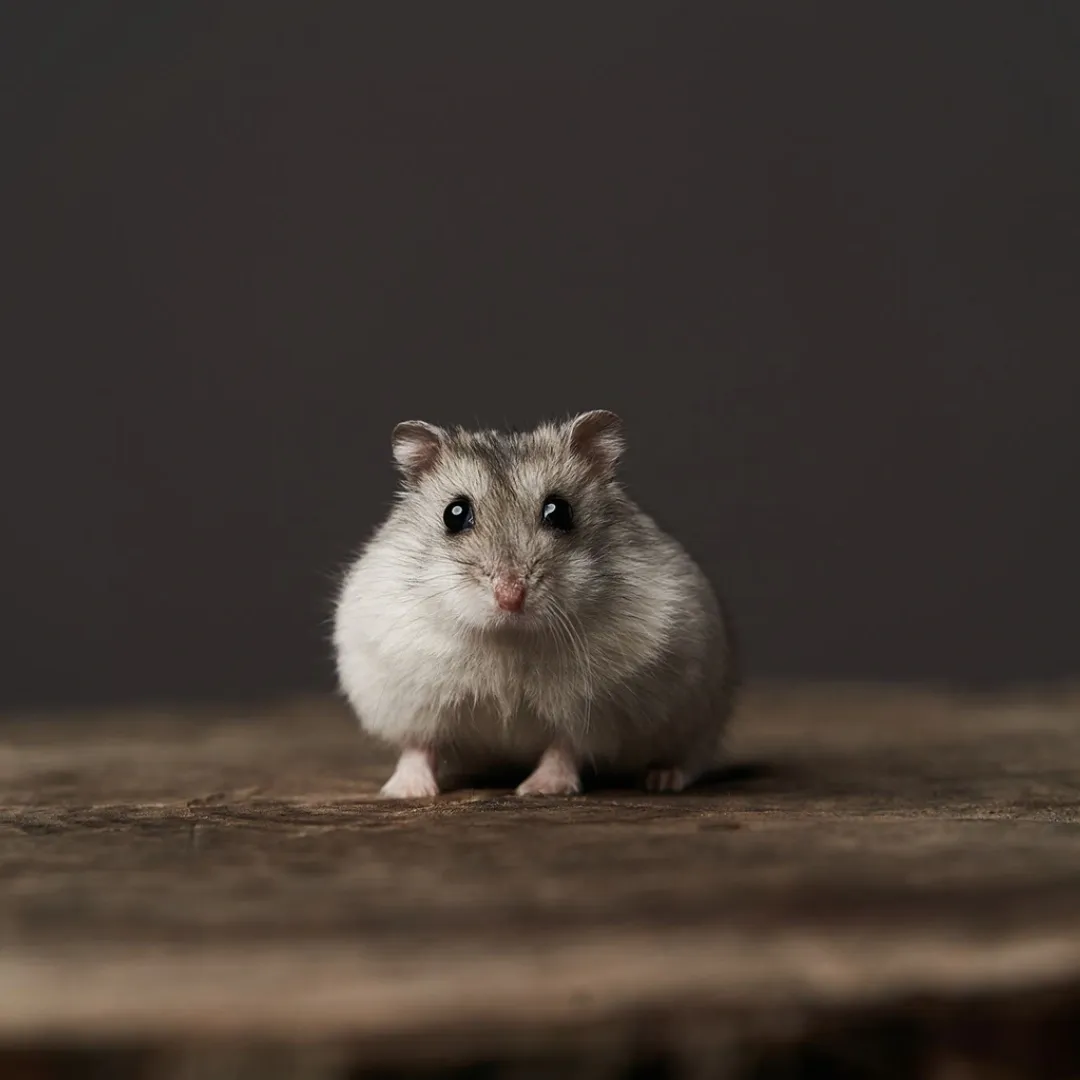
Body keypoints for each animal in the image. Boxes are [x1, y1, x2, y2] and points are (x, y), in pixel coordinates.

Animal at [332, 410, 738, 798]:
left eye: (559, 511)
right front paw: (404, 793)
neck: (508, 638)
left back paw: (662, 779)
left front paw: (540, 789)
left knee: (688, 759)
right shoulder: (409, 699)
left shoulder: (593, 711)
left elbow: (564, 747)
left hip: (699, 721)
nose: (510, 597)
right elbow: (418, 745)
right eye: (454, 514)